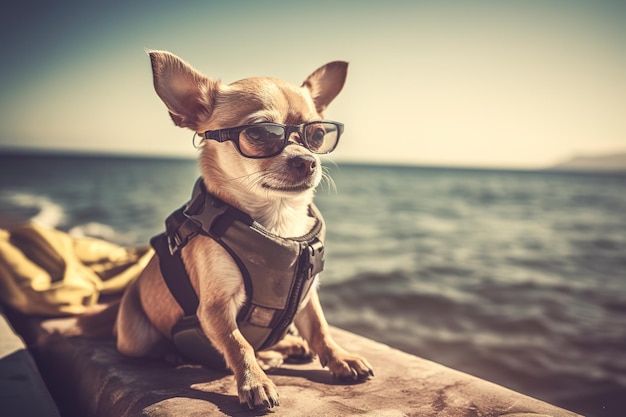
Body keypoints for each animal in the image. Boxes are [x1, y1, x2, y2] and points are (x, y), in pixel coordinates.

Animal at [112, 50, 370, 408]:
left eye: (318, 135)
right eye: (261, 134)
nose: (307, 161)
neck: (277, 221)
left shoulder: (308, 297)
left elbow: (321, 329)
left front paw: (340, 358)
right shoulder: (215, 309)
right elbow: (238, 343)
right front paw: (254, 382)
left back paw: (286, 348)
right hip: (134, 335)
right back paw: (181, 356)